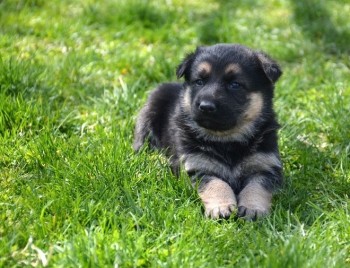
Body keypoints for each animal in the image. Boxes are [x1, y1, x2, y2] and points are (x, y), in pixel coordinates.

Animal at [133, 44, 284, 220]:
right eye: (199, 82)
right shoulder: (197, 166)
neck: (227, 140)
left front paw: (253, 208)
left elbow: (256, 187)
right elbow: (217, 183)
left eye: (235, 84)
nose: (205, 106)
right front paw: (221, 206)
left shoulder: (266, 166)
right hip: (149, 114)